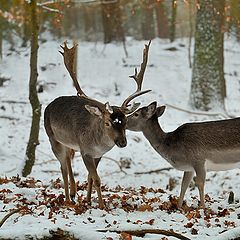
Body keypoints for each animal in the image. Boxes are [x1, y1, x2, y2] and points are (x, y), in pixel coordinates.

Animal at [44, 40, 151, 208]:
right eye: (107, 122)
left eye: (126, 121)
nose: (122, 142)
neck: (97, 142)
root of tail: (48, 106)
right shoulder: (85, 151)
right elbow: (97, 179)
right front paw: (101, 205)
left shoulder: (98, 154)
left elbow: (90, 177)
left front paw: (88, 200)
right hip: (52, 138)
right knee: (62, 168)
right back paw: (67, 199)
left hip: (68, 143)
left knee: (67, 160)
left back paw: (73, 194)